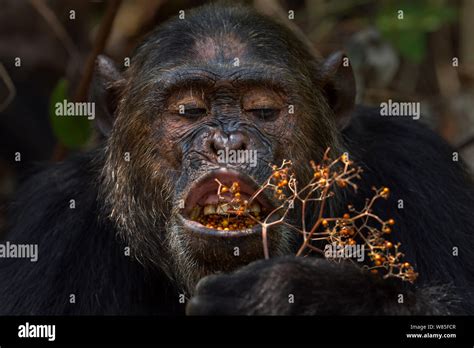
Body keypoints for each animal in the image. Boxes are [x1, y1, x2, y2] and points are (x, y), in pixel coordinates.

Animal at [0, 2, 474, 316]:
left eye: (262, 110)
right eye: (190, 110)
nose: (228, 139)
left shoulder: (420, 167)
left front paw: (286, 295)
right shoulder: (51, 223)